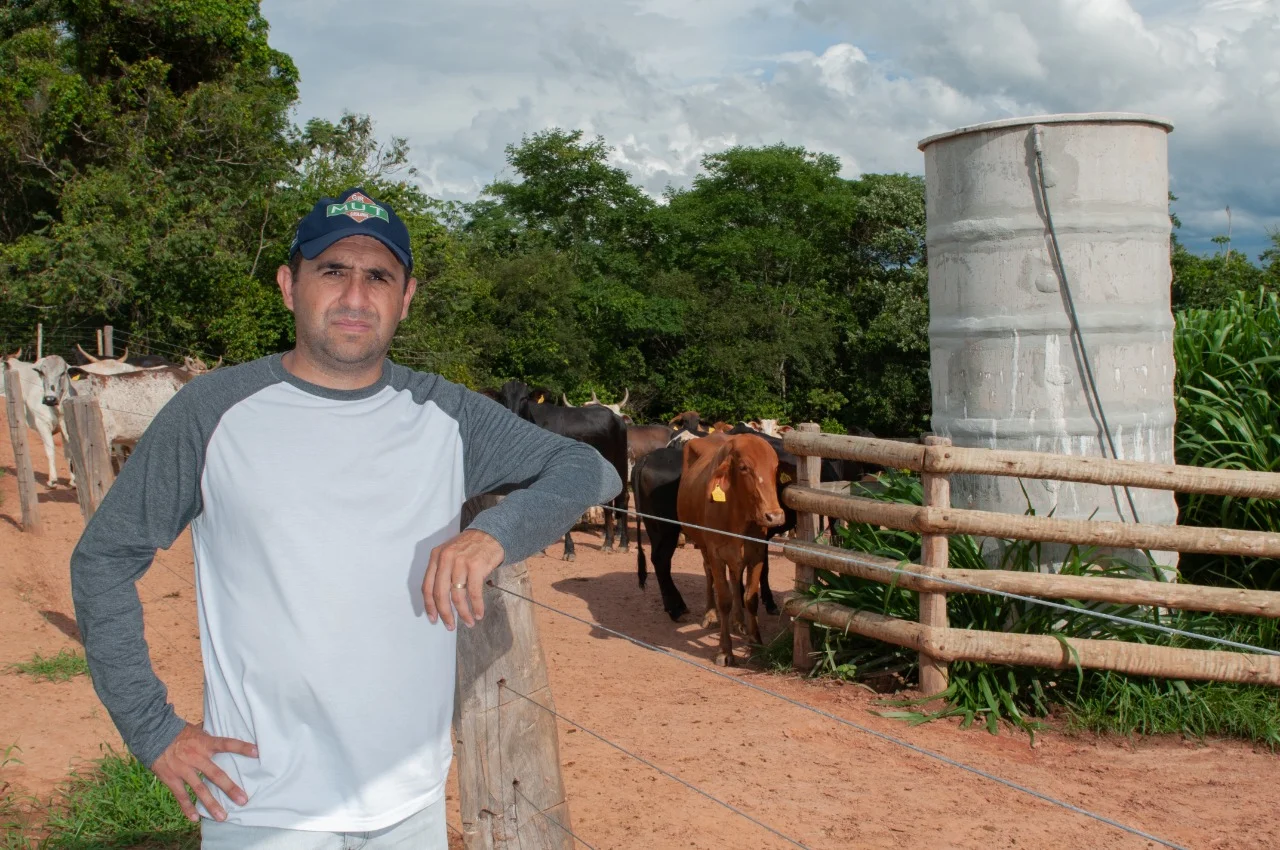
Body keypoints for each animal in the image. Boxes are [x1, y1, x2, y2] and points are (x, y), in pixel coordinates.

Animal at [1, 350, 74, 483]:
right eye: (42, 373)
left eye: (63, 373)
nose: (50, 399)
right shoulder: (43, 424)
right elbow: (54, 451)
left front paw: (59, 480)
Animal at [494, 381, 629, 560]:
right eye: (503, 397)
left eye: (524, 398)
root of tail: (616, 417)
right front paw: (539, 549)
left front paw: (569, 550)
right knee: (608, 503)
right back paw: (607, 543)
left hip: (620, 462)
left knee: (623, 499)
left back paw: (623, 544)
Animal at [675, 435, 783, 665]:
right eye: (743, 467)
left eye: (775, 467)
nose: (774, 516)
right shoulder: (716, 554)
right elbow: (724, 599)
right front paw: (725, 650)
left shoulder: (757, 554)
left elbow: (750, 598)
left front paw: (755, 643)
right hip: (703, 546)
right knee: (708, 574)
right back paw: (710, 615)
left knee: (735, 578)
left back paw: (739, 622)